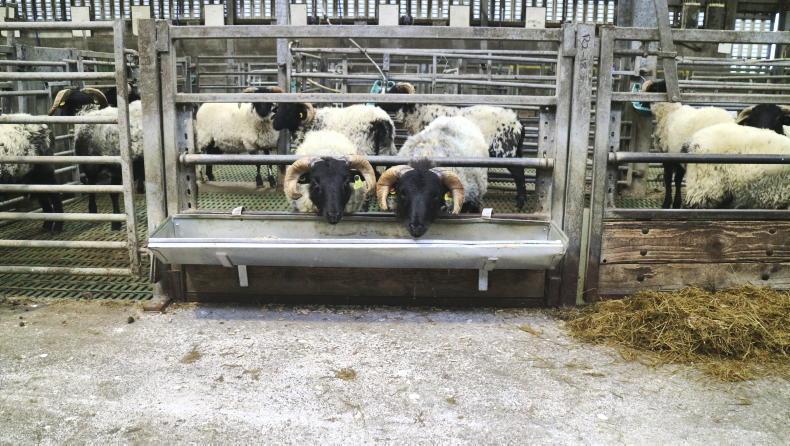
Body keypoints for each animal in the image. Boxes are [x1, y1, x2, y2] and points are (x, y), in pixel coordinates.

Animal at [49, 87, 143, 230]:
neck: (85, 115)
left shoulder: (91, 165)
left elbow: (94, 187)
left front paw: (96, 213)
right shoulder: (116, 170)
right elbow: (114, 193)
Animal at [381, 82, 527, 209]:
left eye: (395, 92)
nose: (380, 102)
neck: (420, 113)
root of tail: (517, 122)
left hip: (505, 150)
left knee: (518, 173)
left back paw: (520, 202)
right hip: (514, 150)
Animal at [641, 80, 735, 209]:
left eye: (653, 88)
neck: (669, 112)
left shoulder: (668, 154)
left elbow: (668, 178)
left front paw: (667, 203)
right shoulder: (679, 155)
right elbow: (678, 179)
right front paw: (676, 203)